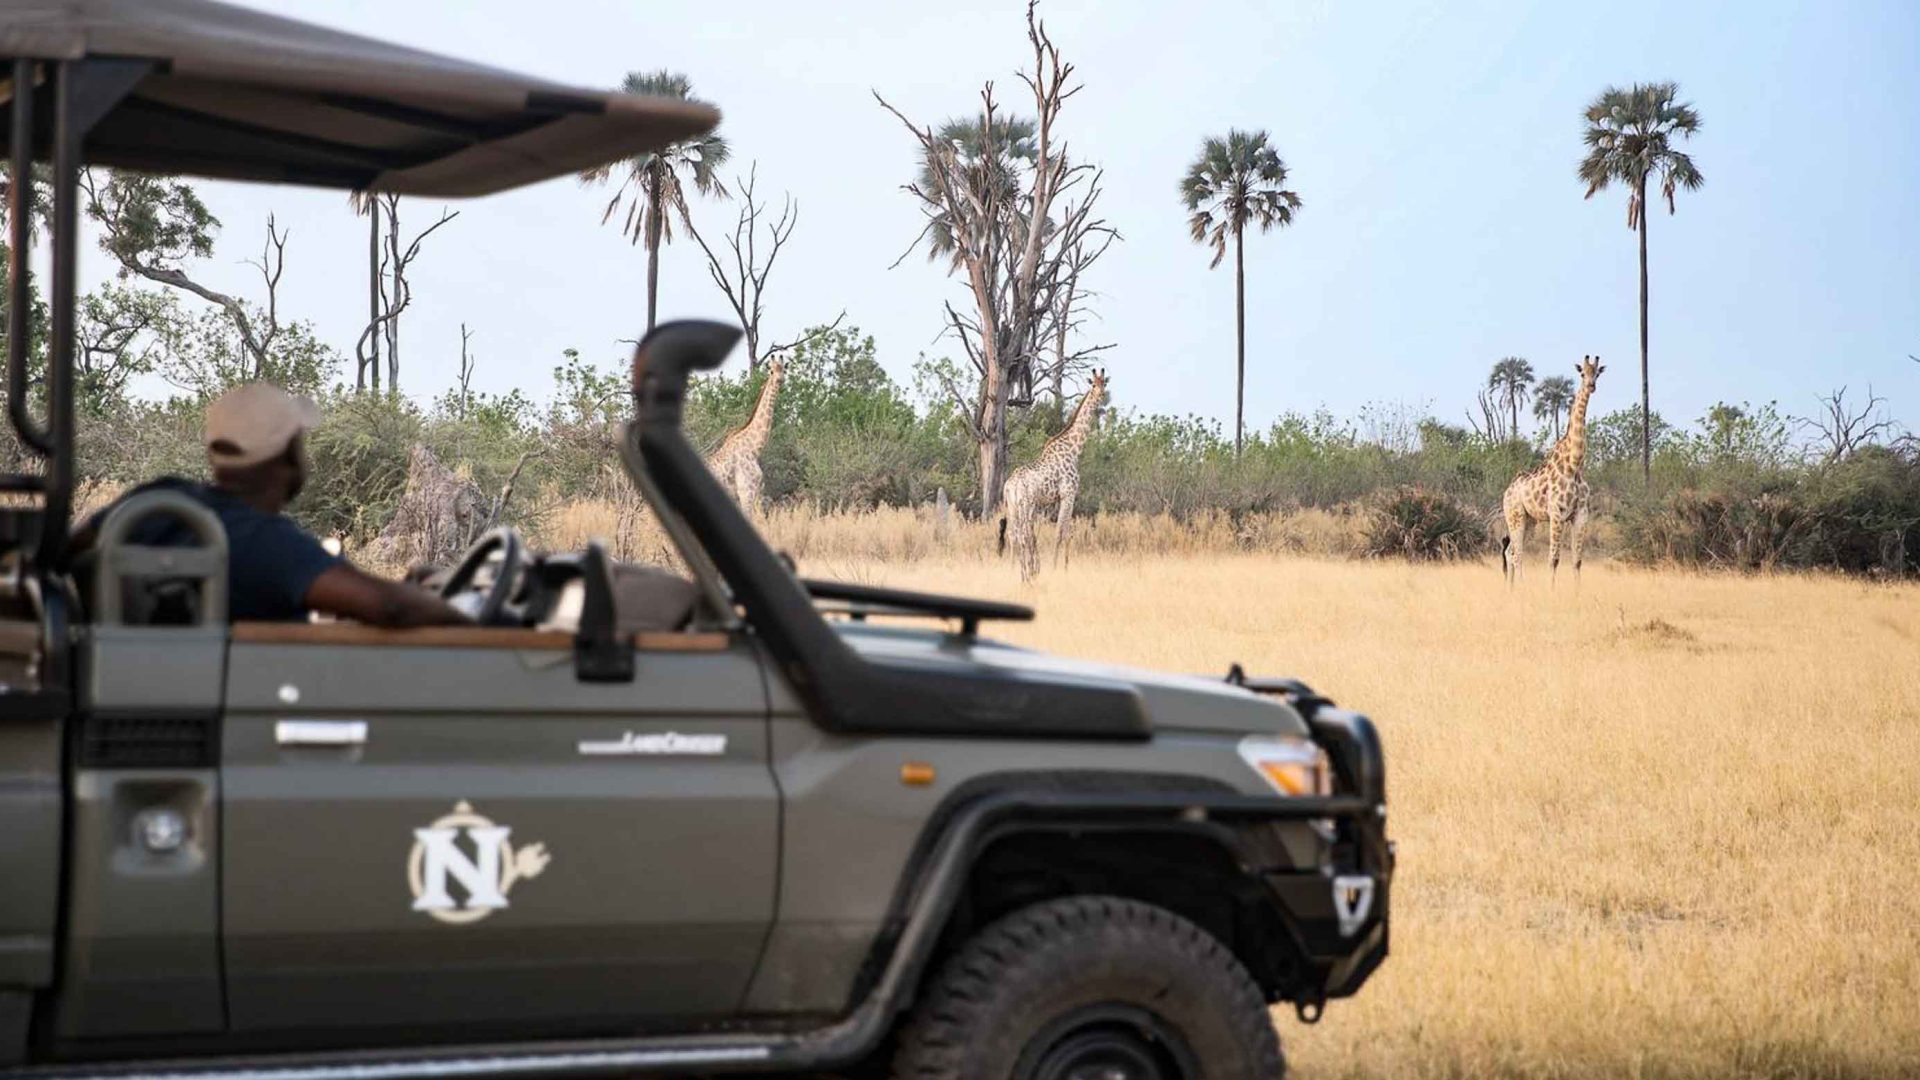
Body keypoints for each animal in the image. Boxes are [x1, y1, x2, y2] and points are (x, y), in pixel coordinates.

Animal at [702, 359, 783, 511]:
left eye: (784, 369)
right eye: (771, 371)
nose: (780, 380)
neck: (753, 448)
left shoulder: (753, 492)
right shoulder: (746, 491)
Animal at [990, 374, 1113, 584]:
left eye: (1104, 383)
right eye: (1093, 385)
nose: (1101, 395)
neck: (1074, 449)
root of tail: (1010, 486)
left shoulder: (1056, 499)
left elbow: (1063, 532)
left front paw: (1060, 566)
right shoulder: (1068, 494)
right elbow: (1061, 532)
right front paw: (1059, 567)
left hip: (1012, 506)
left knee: (1014, 535)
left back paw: (1015, 570)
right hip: (1026, 504)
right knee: (1023, 535)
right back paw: (1026, 572)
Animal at [1497, 353, 1605, 584]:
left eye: (1597, 373)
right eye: (1582, 373)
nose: (1591, 386)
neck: (1573, 464)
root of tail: (1507, 491)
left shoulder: (1581, 514)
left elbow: (1577, 561)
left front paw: (1577, 591)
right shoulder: (1557, 513)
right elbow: (1553, 559)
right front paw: (1551, 589)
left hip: (1530, 520)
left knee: (1510, 551)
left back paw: (1511, 589)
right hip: (1515, 515)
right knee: (1516, 554)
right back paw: (1522, 587)